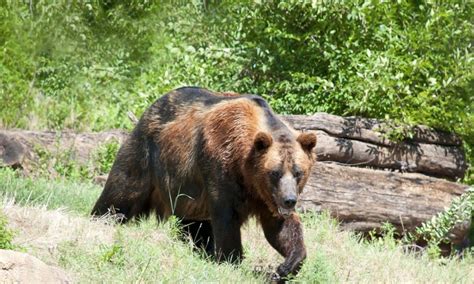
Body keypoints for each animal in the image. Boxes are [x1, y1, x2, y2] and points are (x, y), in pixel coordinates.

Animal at [90, 87, 316, 280]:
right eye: (275, 172)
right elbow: (227, 217)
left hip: (188, 193)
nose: (289, 200)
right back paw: (103, 218)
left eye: (298, 172)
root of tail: (150, 109)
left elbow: (280, 227)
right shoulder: (221, 167)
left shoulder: (265, 196)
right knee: (122, 192)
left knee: (194, 224)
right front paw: (231, 260)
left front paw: (285, 267)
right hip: (146, 156)